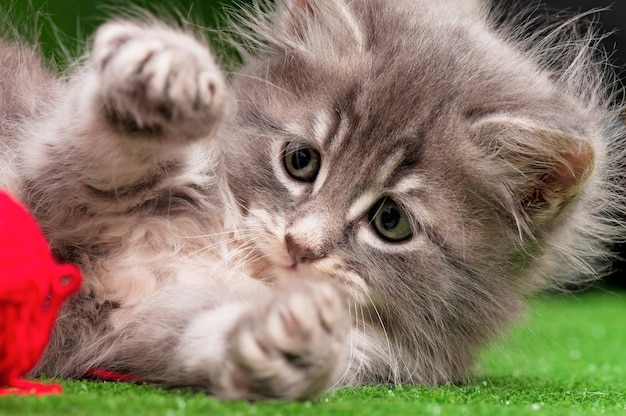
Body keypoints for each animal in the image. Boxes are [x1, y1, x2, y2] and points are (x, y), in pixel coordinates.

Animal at [0, 0, 620, 402]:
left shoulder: (141, 327)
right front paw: (162, 74)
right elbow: (92, 153)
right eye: (301, 161)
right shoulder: (50, 184)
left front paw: (293, 340)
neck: (224, 256)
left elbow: (205, 338)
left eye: (390, 220)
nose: (301, 245)